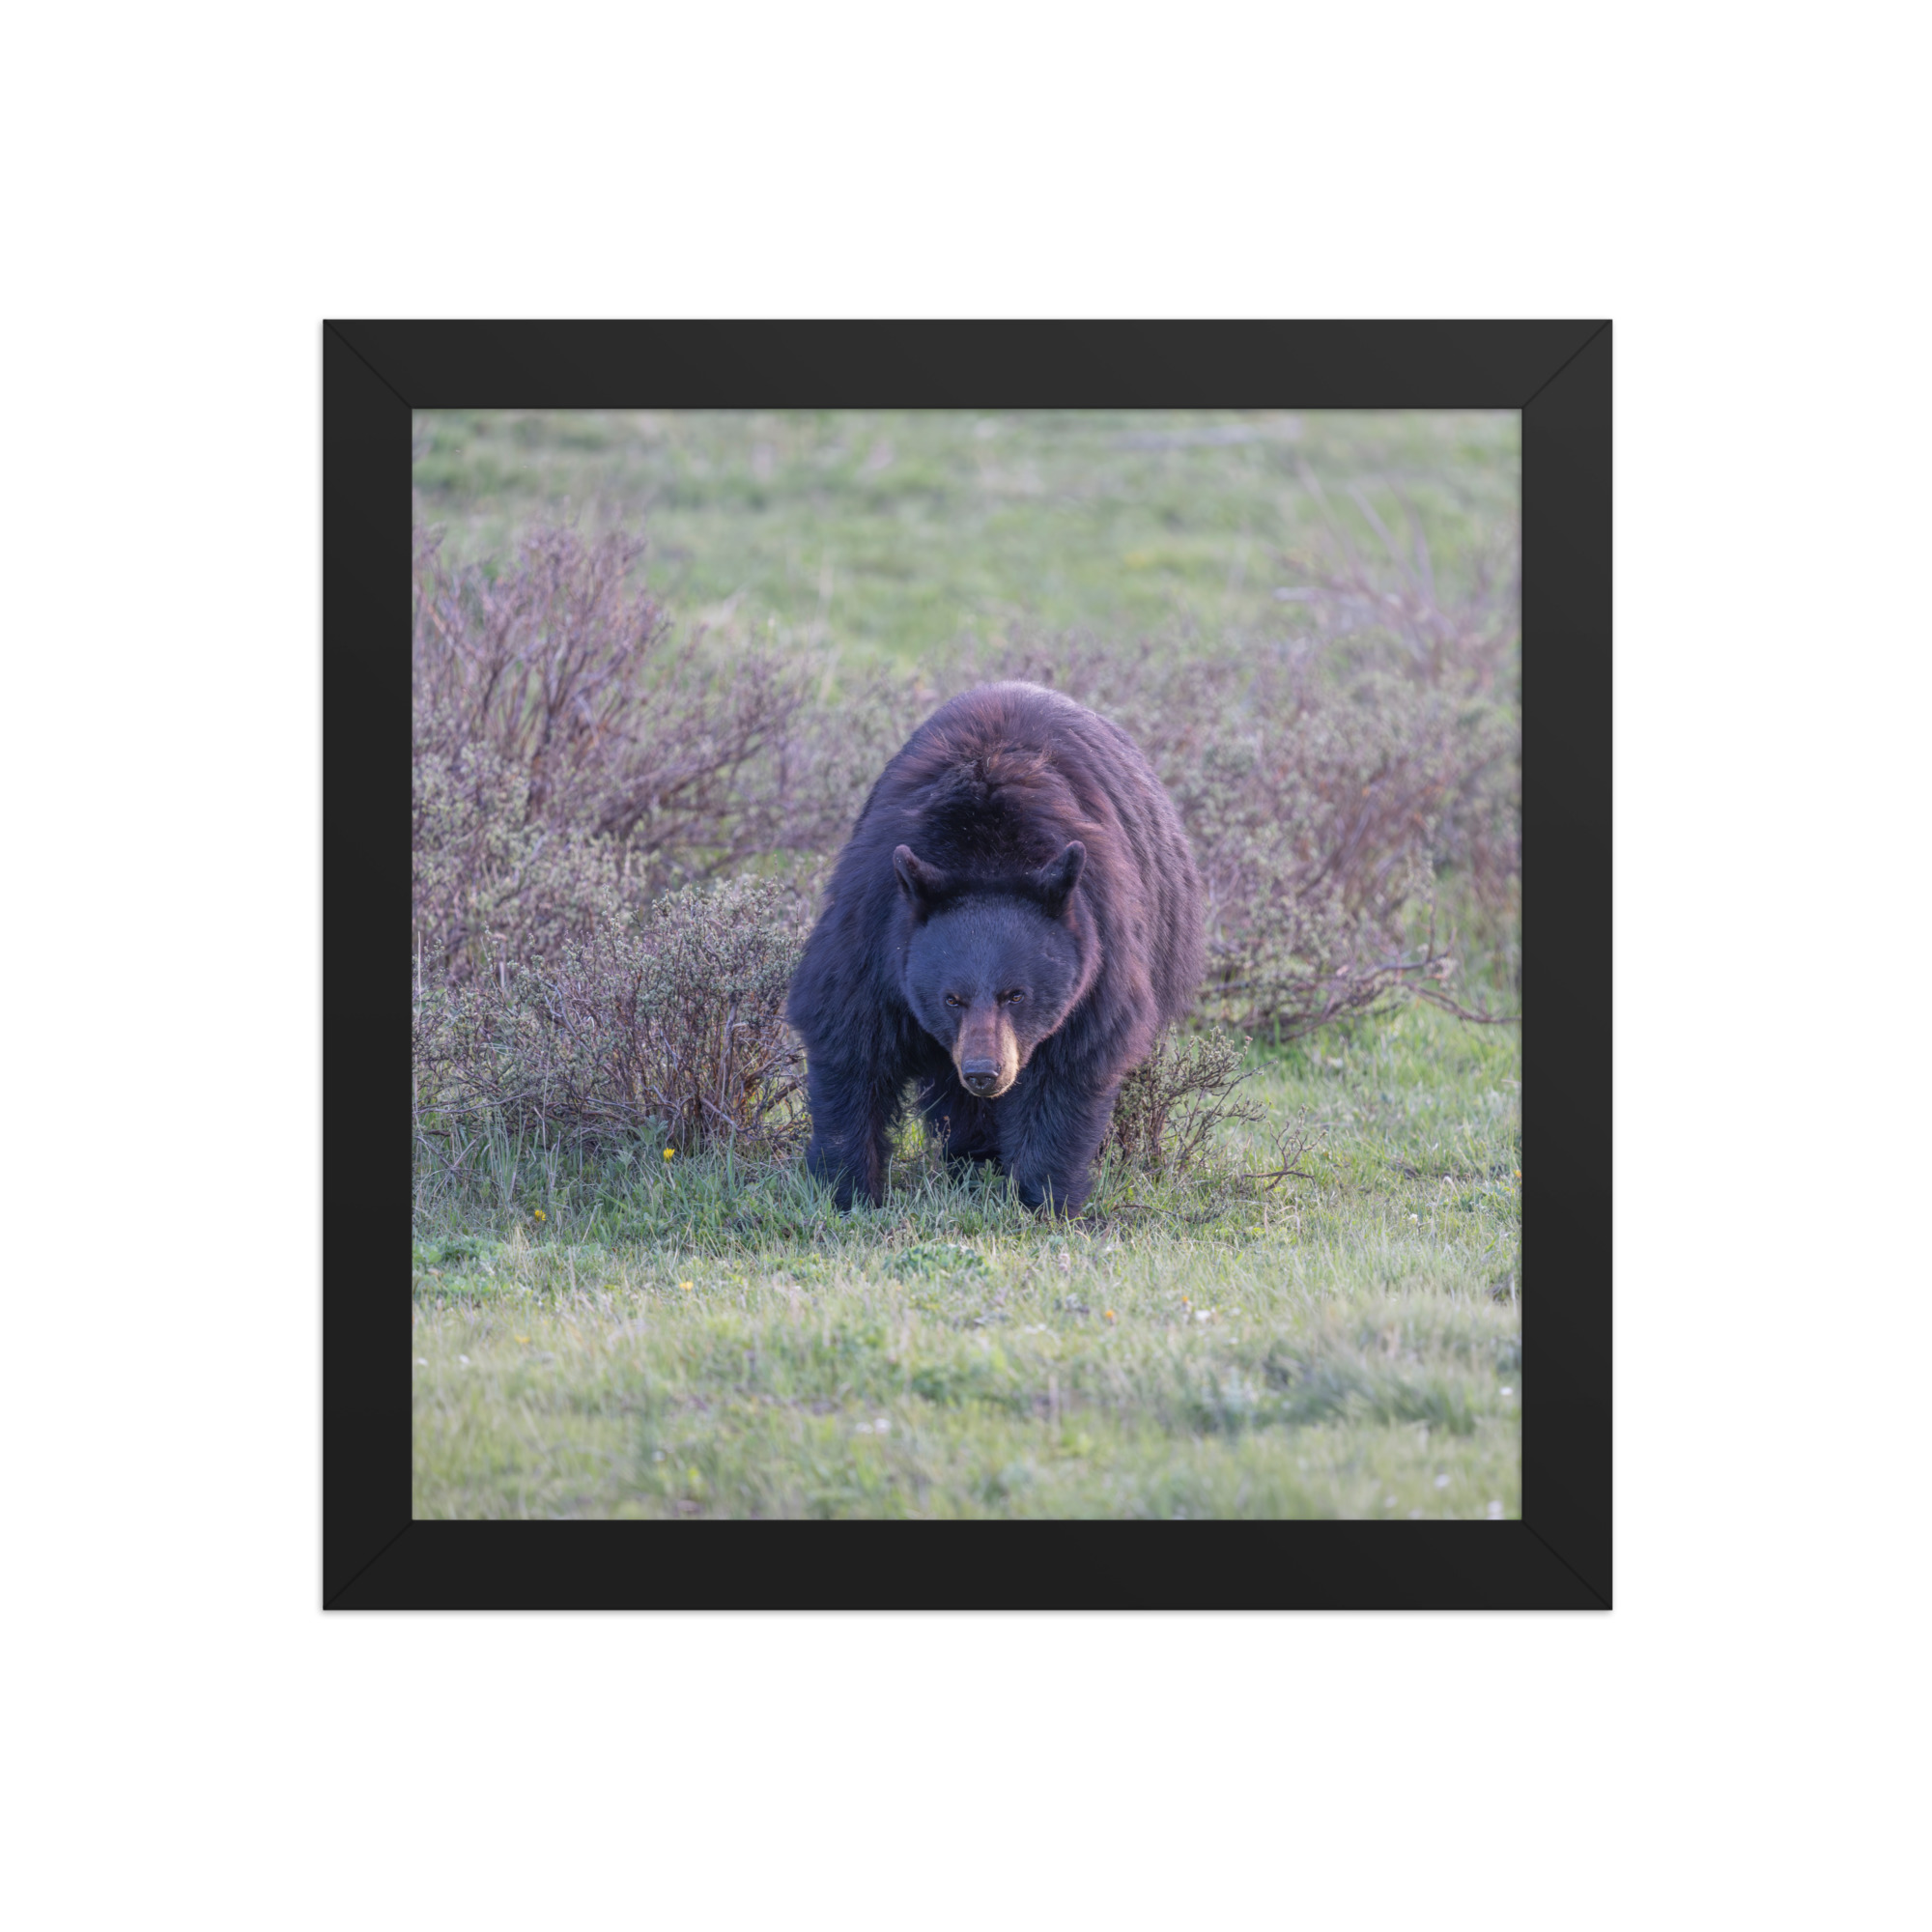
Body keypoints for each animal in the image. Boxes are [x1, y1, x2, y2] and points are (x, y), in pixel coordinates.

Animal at [786, 680, 1205, 1214]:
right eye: (951, 998)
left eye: (1016, 994)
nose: (985, 1073)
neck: (985, 852)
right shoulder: (874, 928)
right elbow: (850, 1039)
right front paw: (848, 1189)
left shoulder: (1100, 950)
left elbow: (1070, 1067)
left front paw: (1045, 1198)